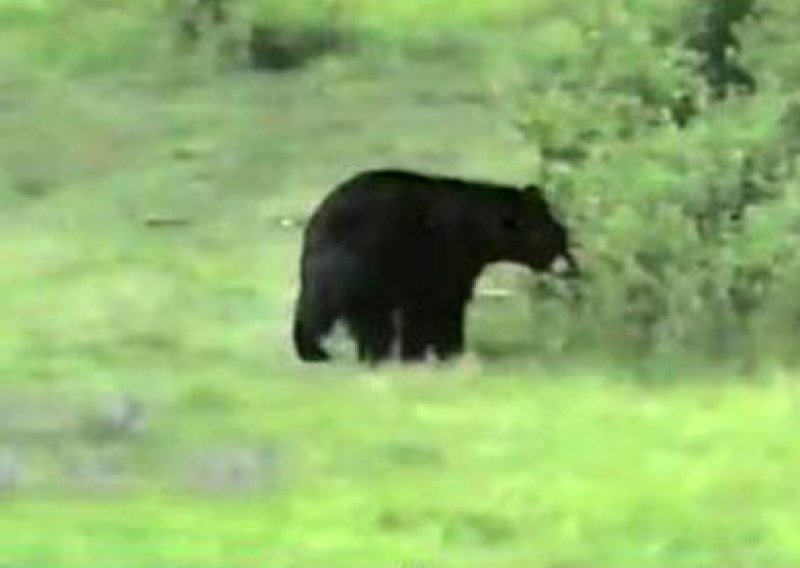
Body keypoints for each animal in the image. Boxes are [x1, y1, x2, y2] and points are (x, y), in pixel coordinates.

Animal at [290, 169, 580, 364]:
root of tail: (317, 221)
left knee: (353, 314)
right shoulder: (441, 258)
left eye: (561, 235)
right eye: (554, 237)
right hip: (356, 263)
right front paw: (448, 352)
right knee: (336, 309)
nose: (572, 267)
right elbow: (441, 305)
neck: (478, 231)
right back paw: (320, 352)